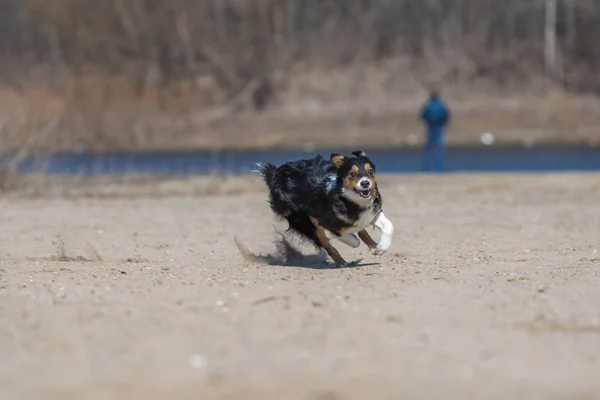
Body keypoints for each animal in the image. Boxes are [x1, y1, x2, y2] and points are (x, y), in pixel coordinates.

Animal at [250, 149, 394, 266]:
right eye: (352, 173)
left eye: (370, 171)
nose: (365, 183)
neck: (350, 199)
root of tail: (275, 173)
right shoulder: (326, 221)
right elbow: (348, 237)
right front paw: (353, 240)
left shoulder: (372, 212)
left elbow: (388, 226)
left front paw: (381, 246)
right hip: (304, 221)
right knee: (326, 243)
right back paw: (341, 262)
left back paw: (373, 246)